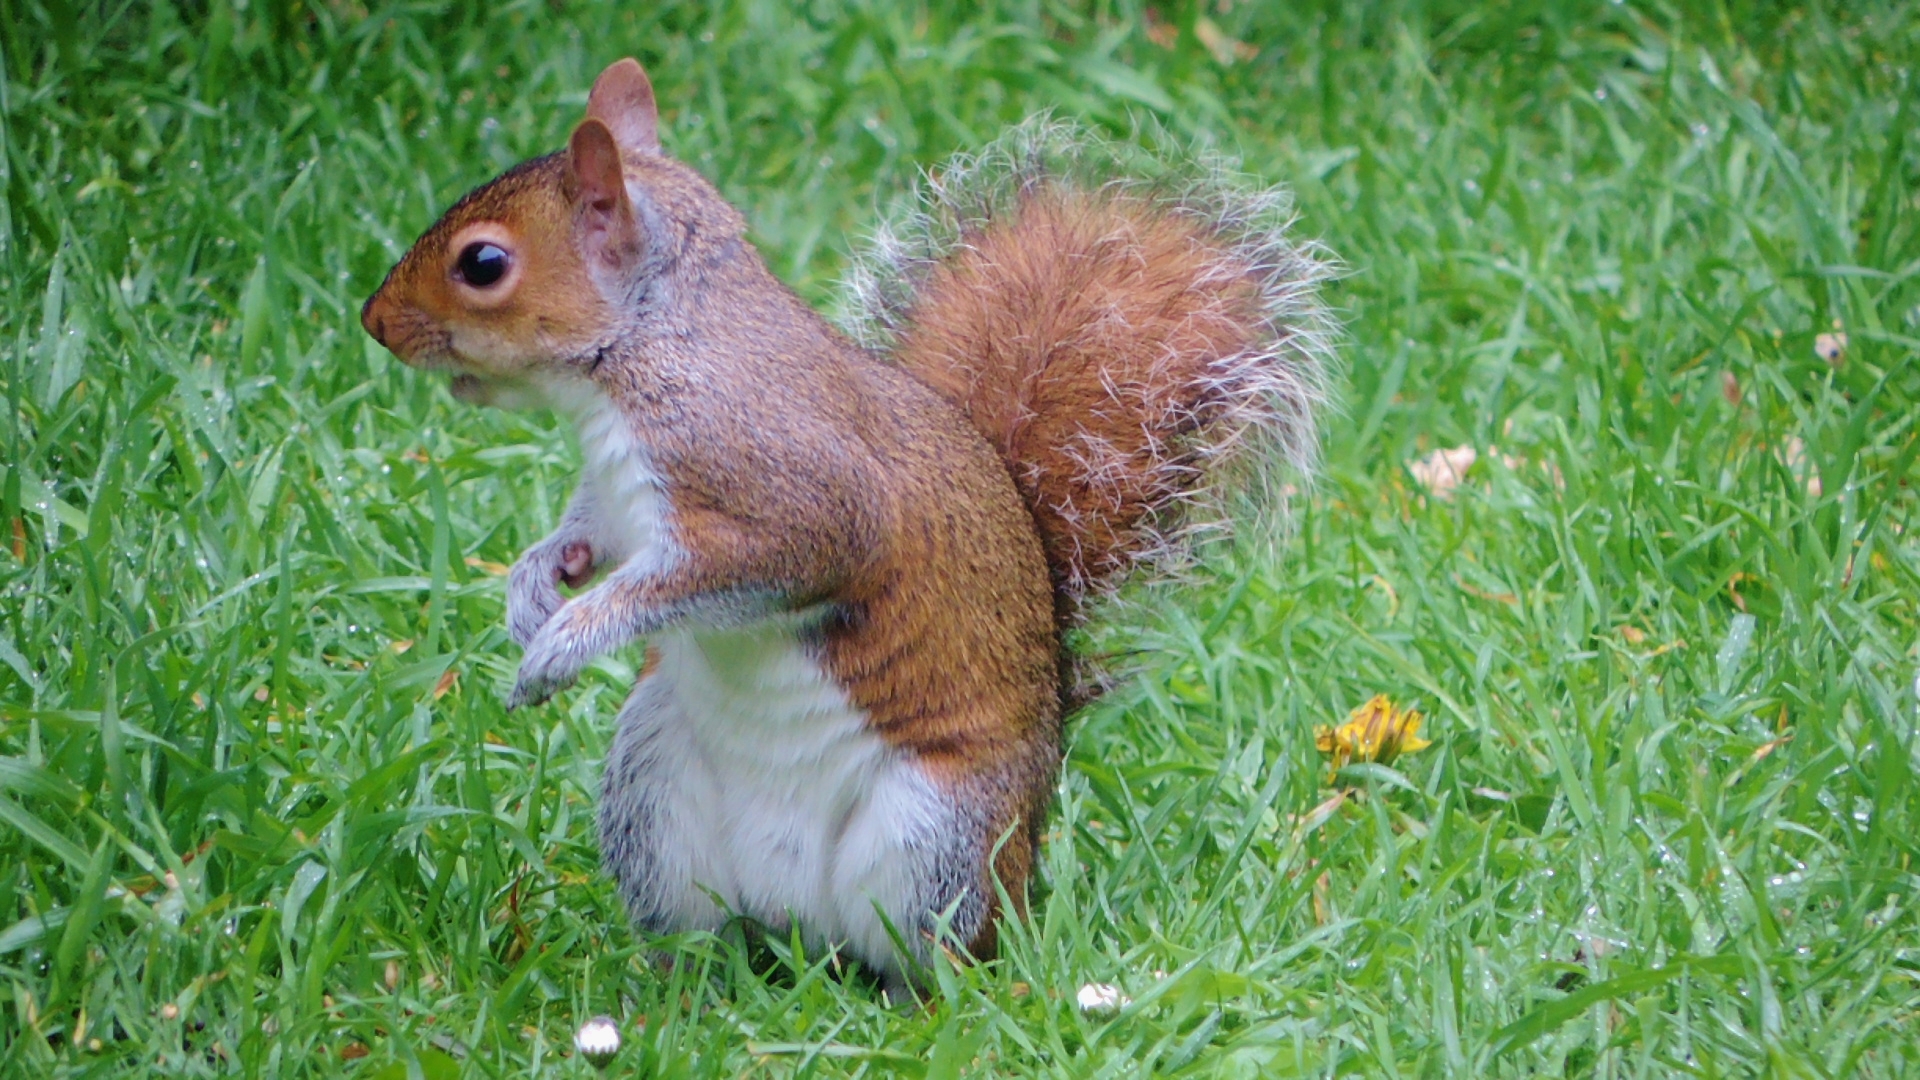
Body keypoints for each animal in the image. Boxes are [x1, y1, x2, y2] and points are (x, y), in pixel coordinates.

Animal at [360, 56, 1336, 983]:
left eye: (483, 265)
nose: (372, 323)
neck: (648, 351)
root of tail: (801, 928)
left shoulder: (788, 497)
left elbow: (737, 568)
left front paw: (568, 639)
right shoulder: (616, 496)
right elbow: (585, 535)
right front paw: (535, 585)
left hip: (935, 837)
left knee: (936, 951)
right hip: (652, 789)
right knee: (702, 929)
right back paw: (674, 987)